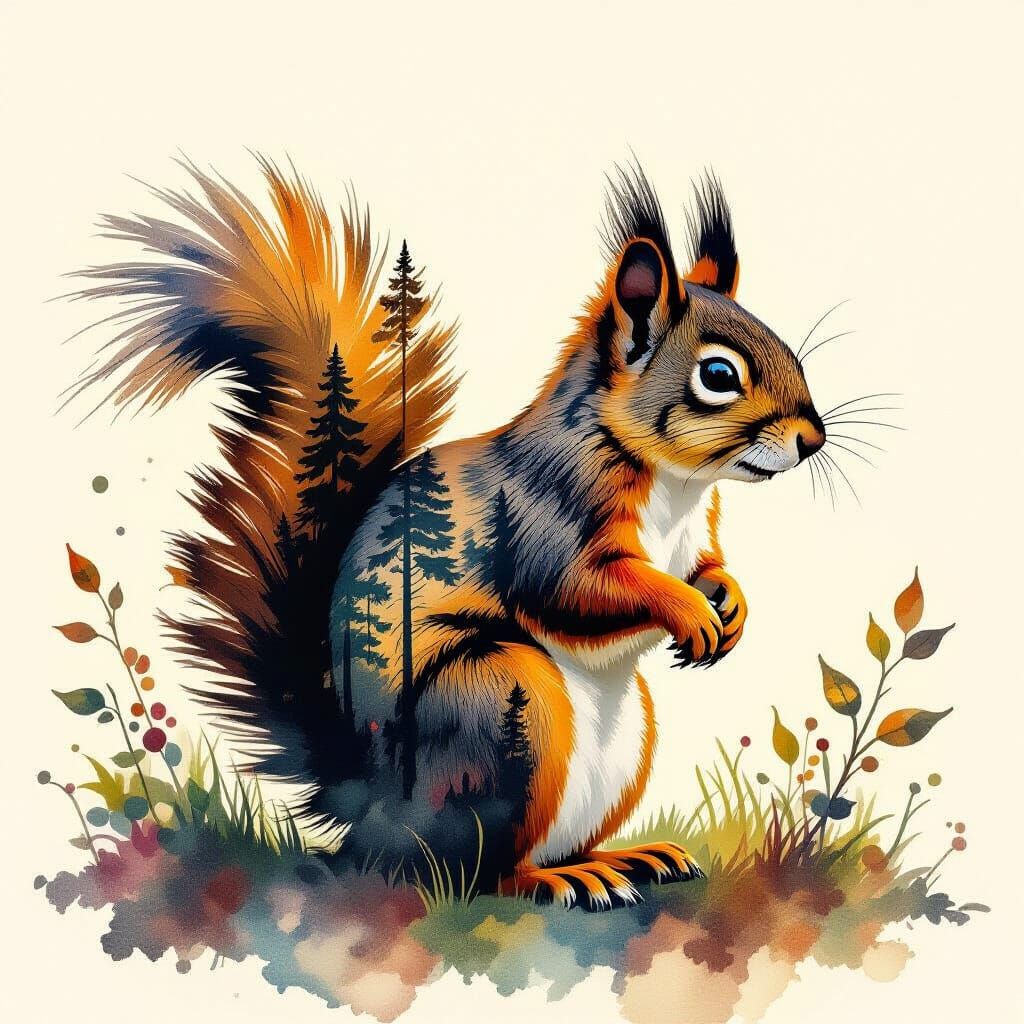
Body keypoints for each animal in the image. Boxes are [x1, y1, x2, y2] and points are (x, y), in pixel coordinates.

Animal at [71, 157, 825, 908]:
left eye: (791, 351)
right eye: (719, 374)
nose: (813, 439)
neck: (674, 483)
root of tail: (368, 809)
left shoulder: (694, 536)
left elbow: (706, 567)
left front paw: (729, 601)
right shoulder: (547, 511)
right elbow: (575, 589)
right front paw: (687, 608)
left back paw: (628, 856)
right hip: (499, 702)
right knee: (478, 870)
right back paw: (562, 877)